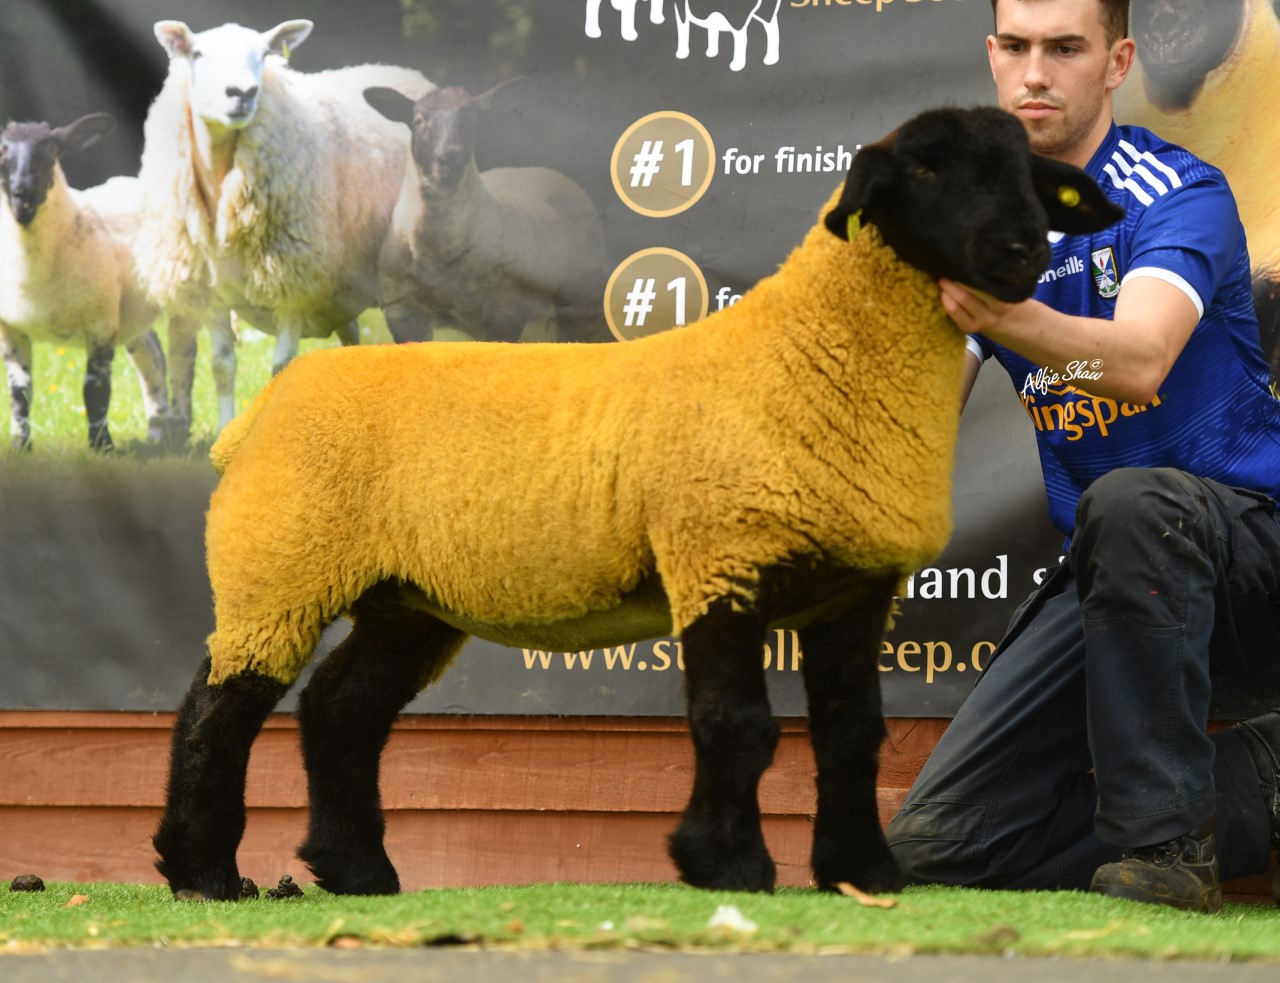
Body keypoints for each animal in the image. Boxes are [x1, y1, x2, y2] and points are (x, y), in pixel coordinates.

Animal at [0, 114, 169, 451]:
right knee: (153, 356)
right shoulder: (10, 329)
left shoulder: (101, 323)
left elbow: (95, 389)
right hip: (131, 312)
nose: (22, 193)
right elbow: (20, 391)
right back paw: (164, 433)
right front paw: (19, 446)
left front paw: (102, 447)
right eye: (2, 150)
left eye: (52, 149)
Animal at [132, 18, 434, 442]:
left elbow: (281, 365)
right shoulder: (211, 292)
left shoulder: (292, 279)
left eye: (263, 54)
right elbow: (222, 365)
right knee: (351, 339)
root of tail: (405, 72)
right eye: (198, 53)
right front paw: (224, 432)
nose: (243, 93)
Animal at [364, 81, 610, 344]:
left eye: (471, 119)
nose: (451, 158)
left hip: (581, 301)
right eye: (418, 121)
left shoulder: (506, 314)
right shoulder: (400, 312)